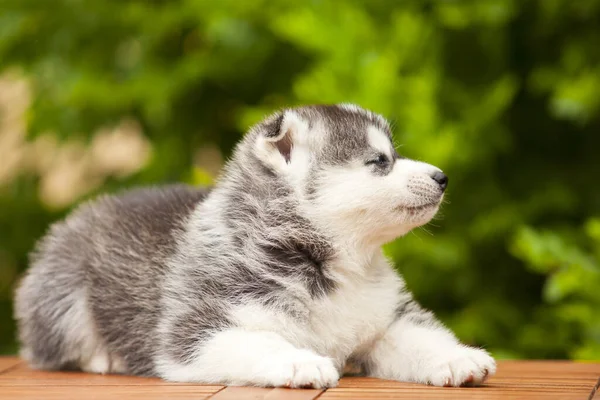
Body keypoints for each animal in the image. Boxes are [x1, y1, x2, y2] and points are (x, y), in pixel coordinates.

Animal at [14, 103, 494, 388]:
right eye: (379, 162)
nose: (442, 177)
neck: (336, 266)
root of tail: (78, 215)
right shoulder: (197, 330)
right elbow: (259, 342)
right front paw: (300, 362)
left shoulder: (384, 320)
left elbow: (418, 337)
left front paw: (456, 358)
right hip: (63, 291)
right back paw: (103, 358)